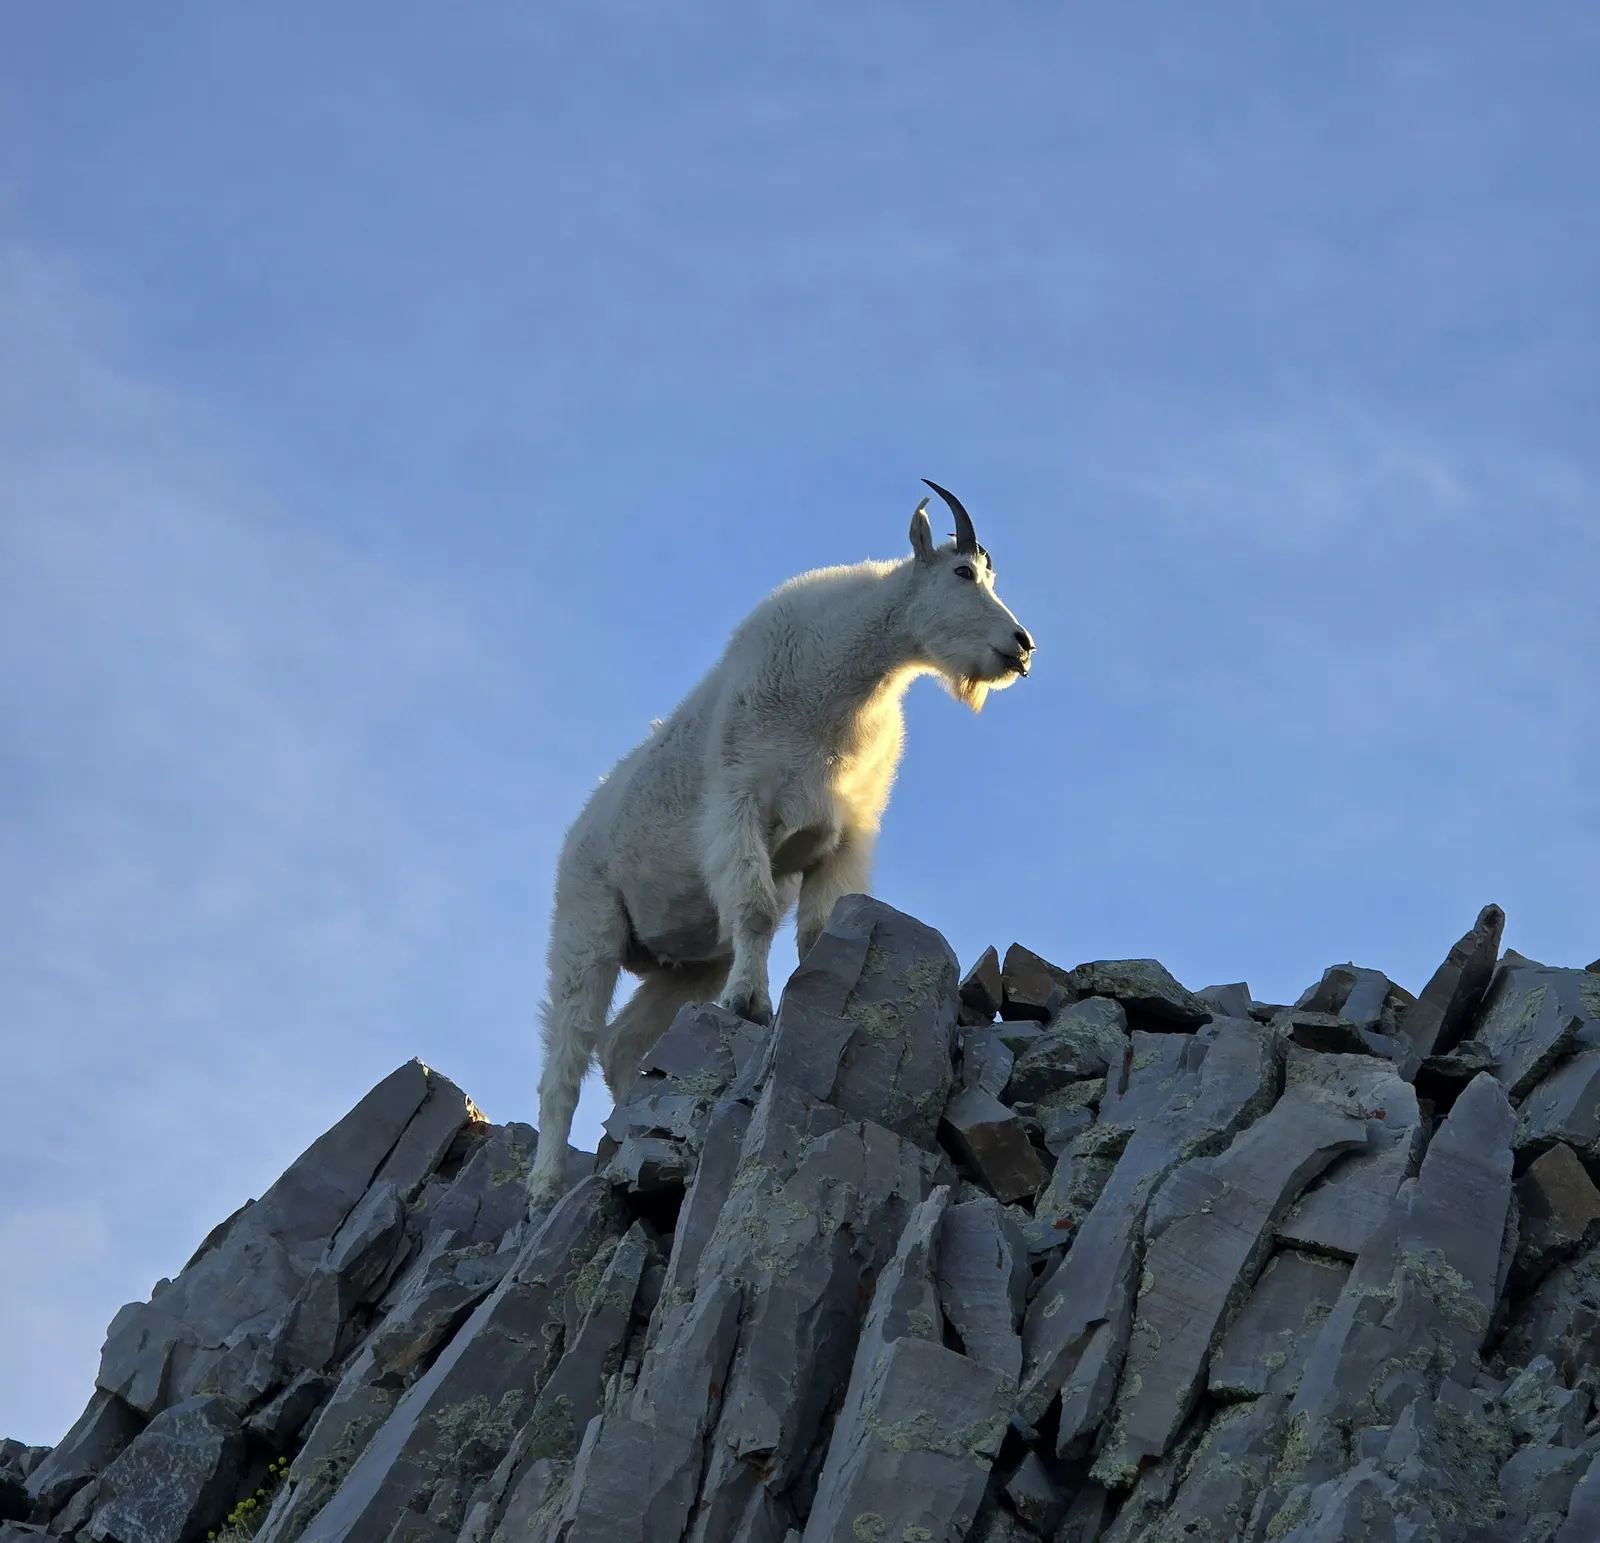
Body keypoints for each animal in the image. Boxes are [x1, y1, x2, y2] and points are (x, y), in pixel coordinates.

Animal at [526, 482, 1035, 1206]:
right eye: (963, 573)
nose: (1022, 646)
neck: (840, 687)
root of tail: (575, 835)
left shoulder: (840, 840)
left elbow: (815, 931)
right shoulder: (741, 808)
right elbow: (758, 910)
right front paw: (750, 1004)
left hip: (687, 961)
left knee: (623, 1043)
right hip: (586, 923)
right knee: (566, 1055)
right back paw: (545, 1182)